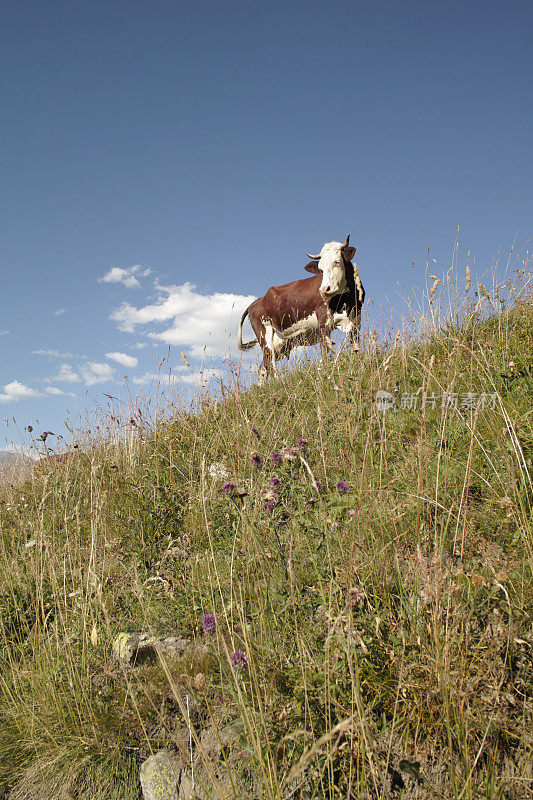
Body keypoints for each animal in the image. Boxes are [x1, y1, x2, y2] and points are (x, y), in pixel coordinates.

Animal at [239, 234, 364, 384]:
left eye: (337, 262)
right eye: (320, 270)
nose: (324, 290)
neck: (345, 300)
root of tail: (256, 302)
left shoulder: (356, 319)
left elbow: (355, 348)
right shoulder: (322, 321)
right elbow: (324, 349)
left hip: (280, 343)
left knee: (264, 367)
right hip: (265, 336)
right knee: (270, 364)